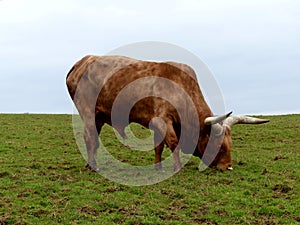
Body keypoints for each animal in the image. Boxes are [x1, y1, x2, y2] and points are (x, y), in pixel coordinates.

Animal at [66, 55, 270, 171]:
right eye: (219, 146)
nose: (227, 167)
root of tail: (81, 62)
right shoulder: (163, 121)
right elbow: (173, 143)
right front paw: (177, 167)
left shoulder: (157, 125)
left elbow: (158, 146)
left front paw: (158, 168)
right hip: (87, 112)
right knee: (89, 137)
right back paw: (94, 167)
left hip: (98, 116)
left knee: (93, 139)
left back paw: (90, 163)